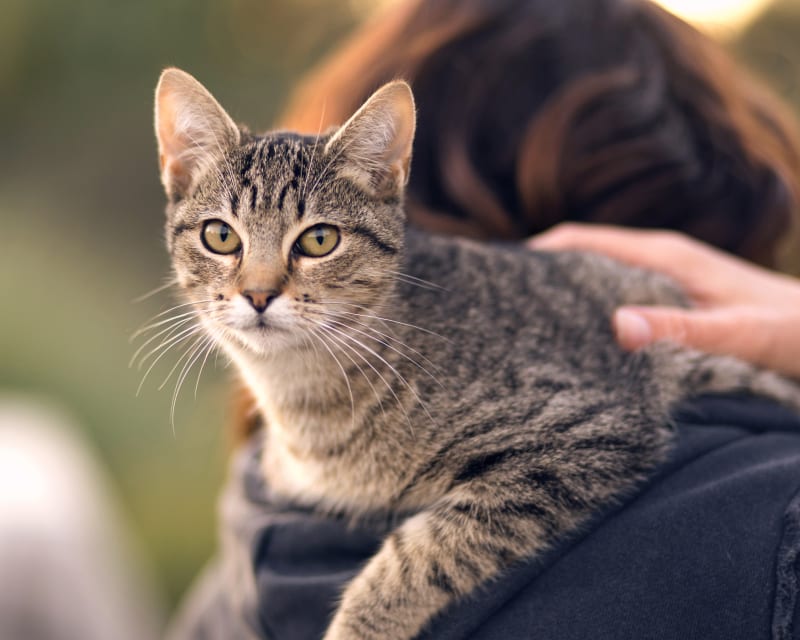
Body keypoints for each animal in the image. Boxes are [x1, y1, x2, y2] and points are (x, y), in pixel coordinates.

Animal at [155, 67, 800, 636]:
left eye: (318, 240)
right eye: (221, 236)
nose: (259, 294)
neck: (305, 400)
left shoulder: (591, 428)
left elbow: (425, 550)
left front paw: (360, 627)